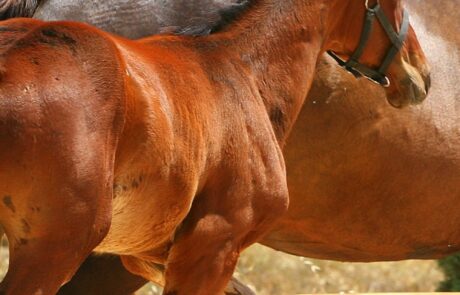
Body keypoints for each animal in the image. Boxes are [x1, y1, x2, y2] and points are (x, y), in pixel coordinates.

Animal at [0, 0, 428, 295]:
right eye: (392, 0)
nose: (421, 73)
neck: (246, 73)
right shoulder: (212, 247)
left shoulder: (149, 255)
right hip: (56, 246)